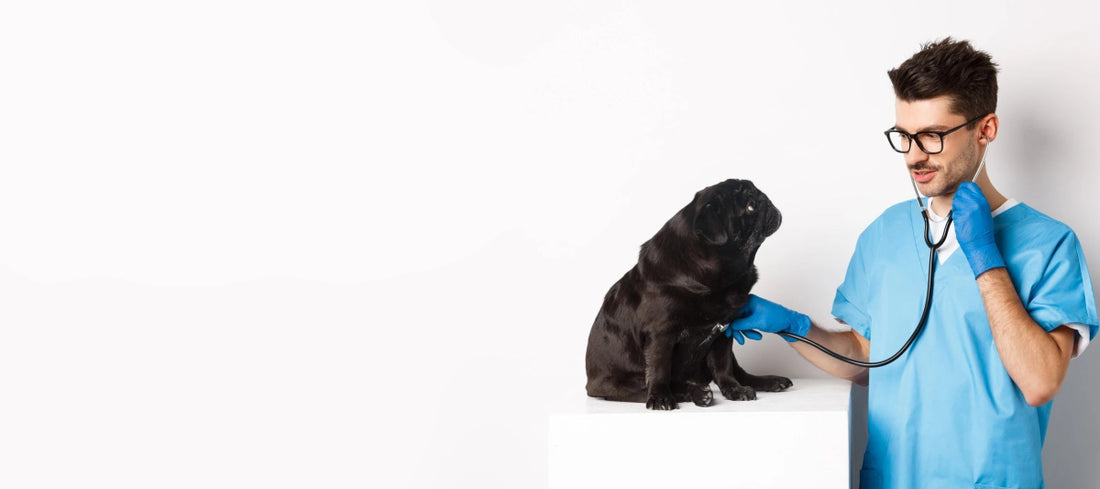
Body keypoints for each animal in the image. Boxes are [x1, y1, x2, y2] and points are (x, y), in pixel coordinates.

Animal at [585, 179, 792, 408]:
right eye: (750, 207)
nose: (762, 197)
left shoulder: (724, 332)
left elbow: (724, 367)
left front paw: (735, 389)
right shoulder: (661, 334)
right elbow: (659, 369)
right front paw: (660, 397)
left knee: (736, 371)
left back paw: (766, 382)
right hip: (617, 384)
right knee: (647, 387)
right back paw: (696, 393)